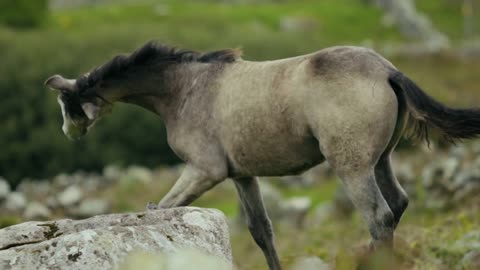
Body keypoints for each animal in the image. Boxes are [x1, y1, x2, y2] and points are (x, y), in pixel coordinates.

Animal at [45, 41, 480, 268]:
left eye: (68, 105)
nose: (68, 133)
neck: (185, 90)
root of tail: (388, 70)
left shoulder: (204, 170)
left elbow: (158, 210)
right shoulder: (241, 175)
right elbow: (262, 231)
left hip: (352, 166)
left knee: (379, 217)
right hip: (381, 161)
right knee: (398, 204)